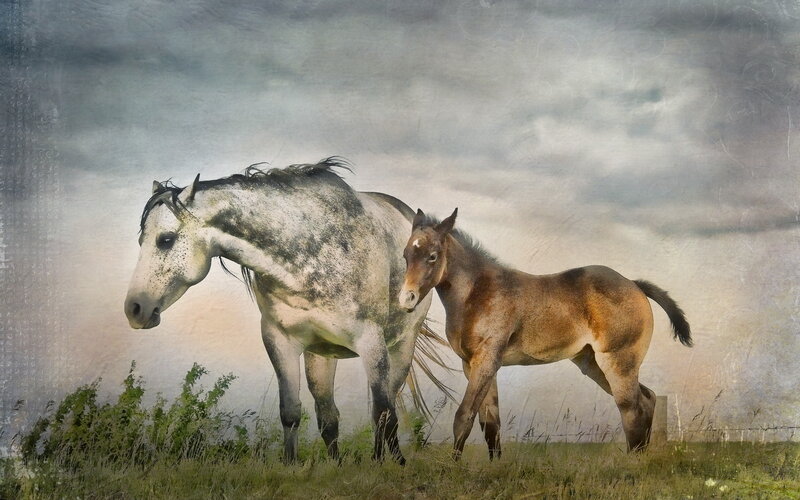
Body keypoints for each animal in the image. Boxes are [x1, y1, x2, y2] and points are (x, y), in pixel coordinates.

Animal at [124, 158, 450, 464]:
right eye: (140, 240)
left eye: (165, 239)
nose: (134, 309)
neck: (309, 252)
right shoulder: (280, 341)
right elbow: (292, 412)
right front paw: (292, 465)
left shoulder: (371, 342)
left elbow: (382, 412)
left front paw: (384, 466)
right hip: (321, 355)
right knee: (328, 414)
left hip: (401, 346)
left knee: (389, 404)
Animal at [399, 208, 692, 459]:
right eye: (405, 255)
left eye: (433, 256)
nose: (406, 298)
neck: (477, 292)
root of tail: (634, 284)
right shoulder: (473, 364)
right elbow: (490, 423)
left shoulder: (486, 360)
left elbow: (464, 416)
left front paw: (453, 468)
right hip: (592, 364)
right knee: (648, 399)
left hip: (617, 361)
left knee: (631, 407)